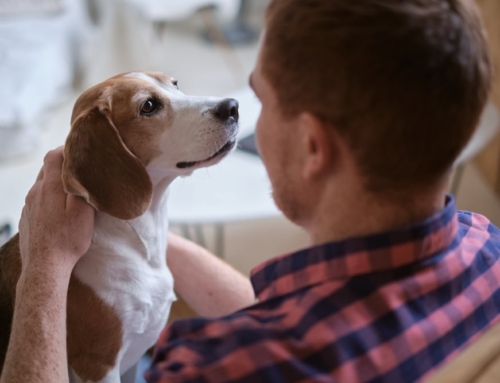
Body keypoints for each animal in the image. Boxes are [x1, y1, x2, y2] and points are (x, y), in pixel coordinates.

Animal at [0, 71, 239, 380]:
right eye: (148, 106)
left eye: (174, 84)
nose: (232, 106)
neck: (139, 245)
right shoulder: (99, 365)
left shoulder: (133, 358)